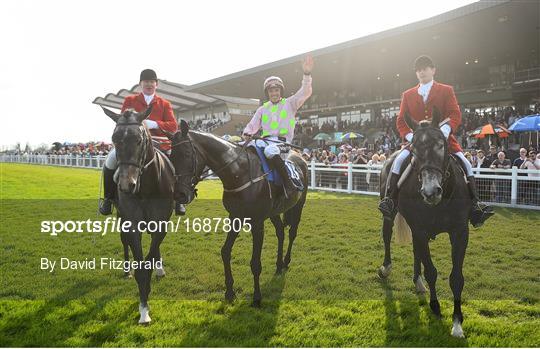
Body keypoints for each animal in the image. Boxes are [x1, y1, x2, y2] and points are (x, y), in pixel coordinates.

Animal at [102, 106, 174, 324]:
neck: (146, 189)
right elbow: (140, 265)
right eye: (114, 138)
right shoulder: (131, 224)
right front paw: (143, 308)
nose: (126, 184)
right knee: (123, 241)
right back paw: (126, 270)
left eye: (139, 140)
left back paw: (160, 269)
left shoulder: (161, 223)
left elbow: (149, 259)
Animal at [168, 121, 308, 306]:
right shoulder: (235, 217)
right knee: (280, 232)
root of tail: (299, 155)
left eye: (186, 153)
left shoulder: (257, 222)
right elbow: (225, 251)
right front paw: (229, 292)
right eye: (171, 157)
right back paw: (278, 266)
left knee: (292, 233)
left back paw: (285, 261)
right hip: (274, 212)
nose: (180, 195)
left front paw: (257, 297)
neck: (239, 173)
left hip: (299, 204)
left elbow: (255, 262)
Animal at [378, 109, 470, 338]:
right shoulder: (420, 230)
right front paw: (435, 307)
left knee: (415, 250)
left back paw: (417, 281)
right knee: (386, 236)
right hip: (390, 214)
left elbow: (456, 277)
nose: (430, 192)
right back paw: (386, 268)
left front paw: (457, 322)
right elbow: (432, 272)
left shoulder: (460, 232)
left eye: (441, 145)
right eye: (414, 150)